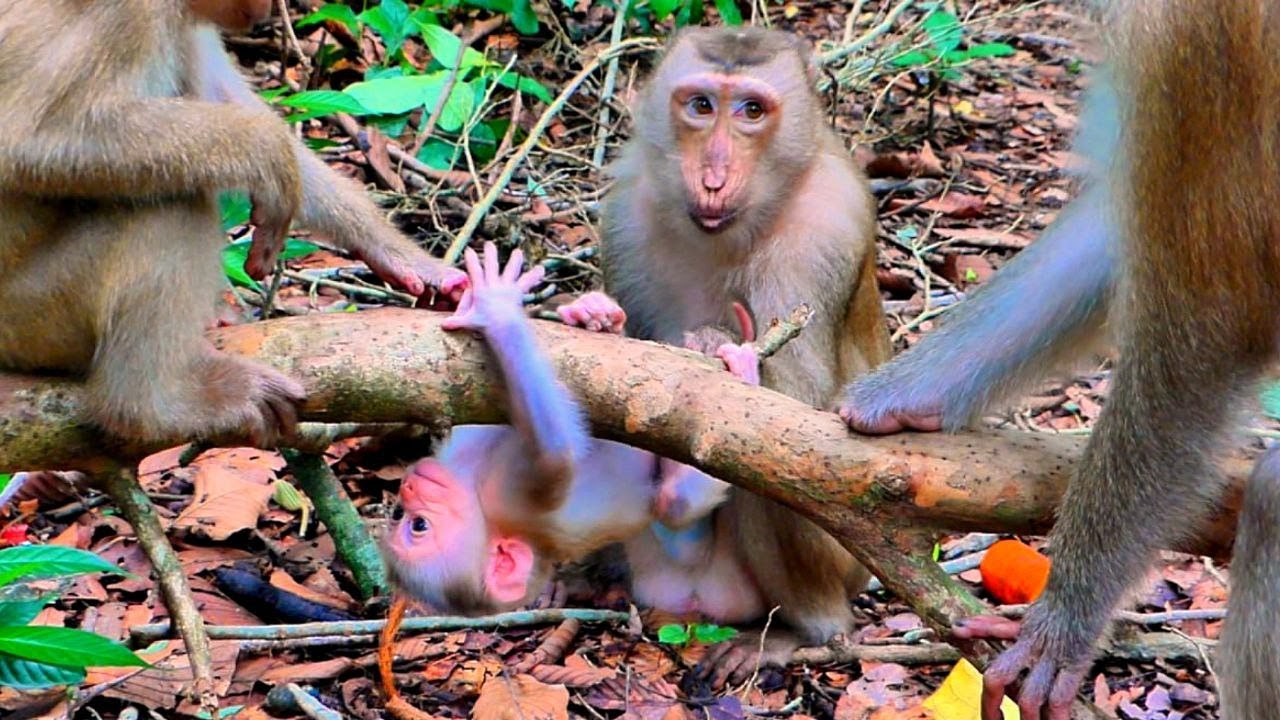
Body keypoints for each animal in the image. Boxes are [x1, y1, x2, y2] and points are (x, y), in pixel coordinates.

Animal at [0, 0, 466, 447]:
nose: (262, 13)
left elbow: (225, 96)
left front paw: (407, 259)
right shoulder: (124, 13)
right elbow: (26, 142)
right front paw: (267, 151)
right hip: (34, 312)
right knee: (170, 204)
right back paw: (151, 406)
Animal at [382, 243, 753, 615]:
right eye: (416, 523)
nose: (408, 486)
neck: (471, 478)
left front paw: (454, 299)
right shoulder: (512, 498)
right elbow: (557, 451)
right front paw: (497, 310)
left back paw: (596, 315)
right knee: (675, 504)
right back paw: (742, 375)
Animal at [599, 26, 890, 682]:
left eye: (752, 111)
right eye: (702, 105)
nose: (712, 177)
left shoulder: (823, 233)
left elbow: (817, 424)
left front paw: (723, 352)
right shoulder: (626, 208)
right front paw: (595, 322)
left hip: (841, 570)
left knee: (771, 465)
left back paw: (802, 631)